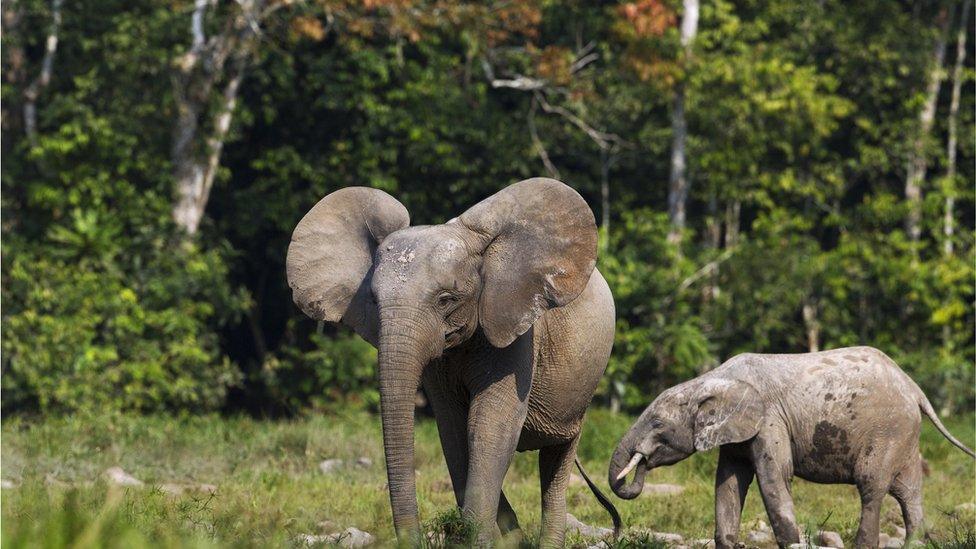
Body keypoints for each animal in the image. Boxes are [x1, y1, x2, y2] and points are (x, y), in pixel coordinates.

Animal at [284, 179, 616, 544]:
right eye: (372, 299)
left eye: (446, 300)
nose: (413, 542)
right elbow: (454, 430)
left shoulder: (517, 332)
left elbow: (489, 426)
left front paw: (479, 538)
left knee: (557, 459)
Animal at [608, 346, 976, 548]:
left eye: (657, 424)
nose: (639, 465)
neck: (708, 380)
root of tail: (914, 388)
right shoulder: (738, 431)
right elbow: (728, 483)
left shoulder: (770, 420)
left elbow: (774, 480)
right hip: (904, 435)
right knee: (909, 493)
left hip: (888, 430)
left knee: (871, 486)